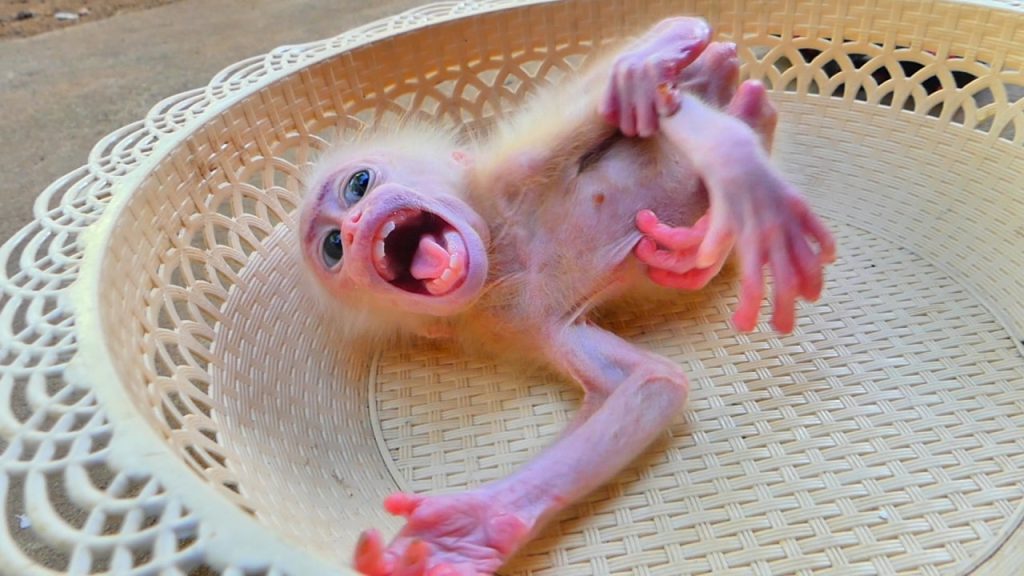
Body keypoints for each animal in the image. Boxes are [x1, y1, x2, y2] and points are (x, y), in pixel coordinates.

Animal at [298, 17, 836, 576]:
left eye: (359, 184)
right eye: (332, 248)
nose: (354, 227)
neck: (503, 259)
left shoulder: (506, 181)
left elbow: (569, 133)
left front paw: (651, 61)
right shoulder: (529, 325)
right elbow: (651, 383)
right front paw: (470, 528)